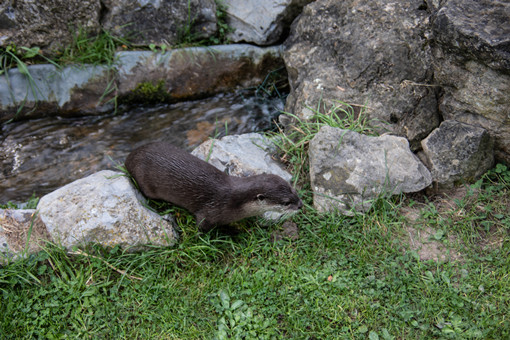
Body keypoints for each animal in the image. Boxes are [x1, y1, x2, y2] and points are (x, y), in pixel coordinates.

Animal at [123, 141, 300, 231]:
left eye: (294, 190)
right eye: (286, 202)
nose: (300, 205)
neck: (232, 202)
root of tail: (130, 157)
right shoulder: (208, 212)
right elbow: (202, 228)